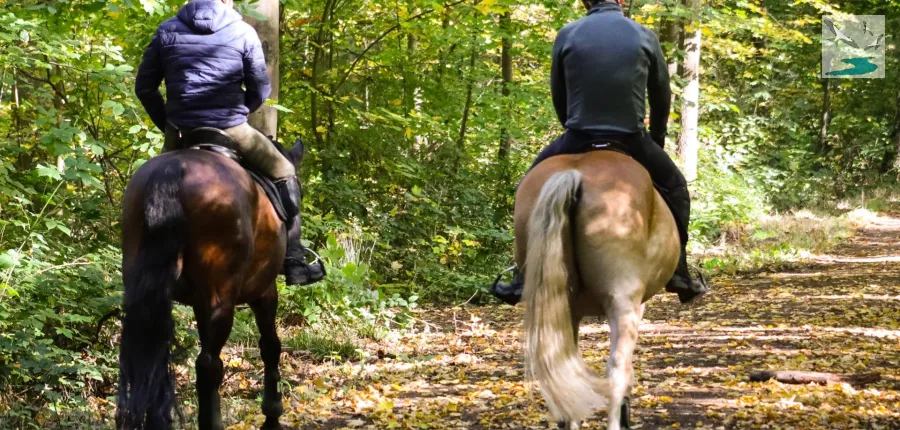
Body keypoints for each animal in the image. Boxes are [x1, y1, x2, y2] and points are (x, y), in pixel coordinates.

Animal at [116, 139, 306, 430]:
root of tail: (173, 170)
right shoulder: (264, 292)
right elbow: (270, 346)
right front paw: (272, 414)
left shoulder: (199, 303)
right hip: (223, 296)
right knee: (208, 365)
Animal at [517, 151, 680, 430]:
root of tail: (574, 173)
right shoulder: (637, 304)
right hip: (622, 302)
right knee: (615, 366)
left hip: (561, 306)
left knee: (565, 362)